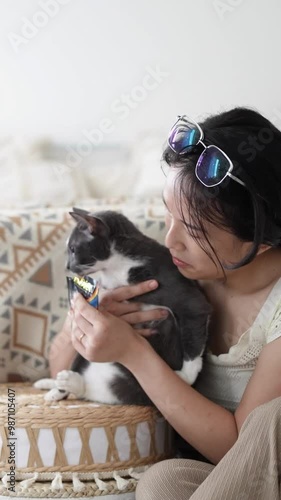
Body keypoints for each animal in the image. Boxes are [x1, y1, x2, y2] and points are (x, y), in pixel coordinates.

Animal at [34, 208, 210, 406]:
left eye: (73, 249)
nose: (67, 266)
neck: (116, 267)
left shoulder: (190, 299)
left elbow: (194, 331)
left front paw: (187, 376)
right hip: (84, 354)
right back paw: (55, 387)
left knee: (116, 389)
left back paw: (70, 382)